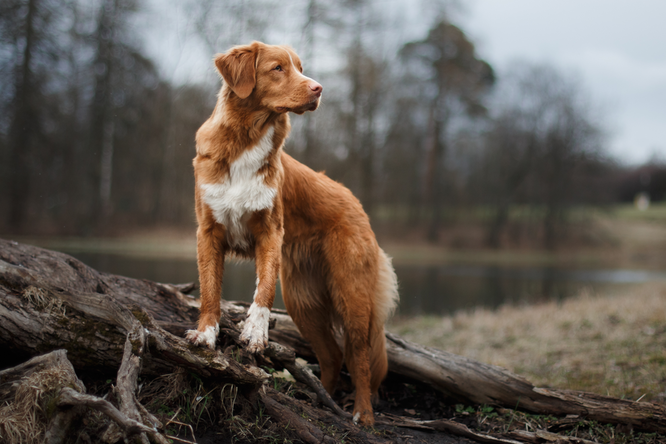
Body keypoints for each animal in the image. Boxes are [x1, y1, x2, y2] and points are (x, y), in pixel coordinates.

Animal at [184, 42, 396, 426]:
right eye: (278, 68)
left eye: (300, 67)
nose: (318, 89)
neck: (248, 139)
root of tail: (356, 202)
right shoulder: (208, 232)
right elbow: (209, 290)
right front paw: (205, 334)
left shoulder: (270, 232)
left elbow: (264, 289)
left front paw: (255, 332)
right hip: (303, 301)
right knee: (331, 356)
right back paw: (321, 401)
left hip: (351, 295)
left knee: (357, 356)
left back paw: (362, 413)